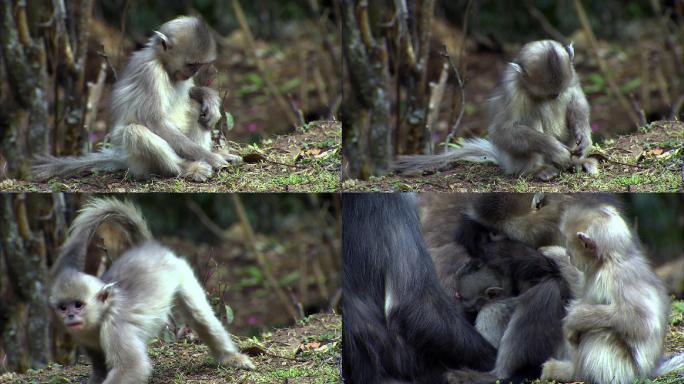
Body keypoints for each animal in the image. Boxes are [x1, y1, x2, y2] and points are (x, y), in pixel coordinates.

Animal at [32, 16, 240, 182]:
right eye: (191, 64)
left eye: (198, 66)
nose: (194, 72)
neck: (162, 64)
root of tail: (125, 159)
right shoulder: (150, 73)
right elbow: (154, 122)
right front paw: (210, 158)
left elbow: (191, 94)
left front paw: (209, 98)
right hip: (140, 162)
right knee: (135, 131)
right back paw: (186, 168)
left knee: (197, 108)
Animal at [49, 200, 254, 382]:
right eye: (63, 308)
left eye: (78, 305)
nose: (70, 316)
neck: (101, 317)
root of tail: (150, 248)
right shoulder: (83, 337)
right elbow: (100, 368)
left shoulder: (116, 327)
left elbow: (132, 367)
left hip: (180, 271)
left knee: (200, 317)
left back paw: (230, 357)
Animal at [396, 40, 600, 182]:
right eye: (548, 94)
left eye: (556, 92)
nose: (555, 96)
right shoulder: (512, 89)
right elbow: (502, 131)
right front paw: (554, 148)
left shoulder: (572, 74)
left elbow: (576, 100)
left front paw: (584, 140)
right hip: (516, 160)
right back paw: (538, 169)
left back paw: (578, 163)